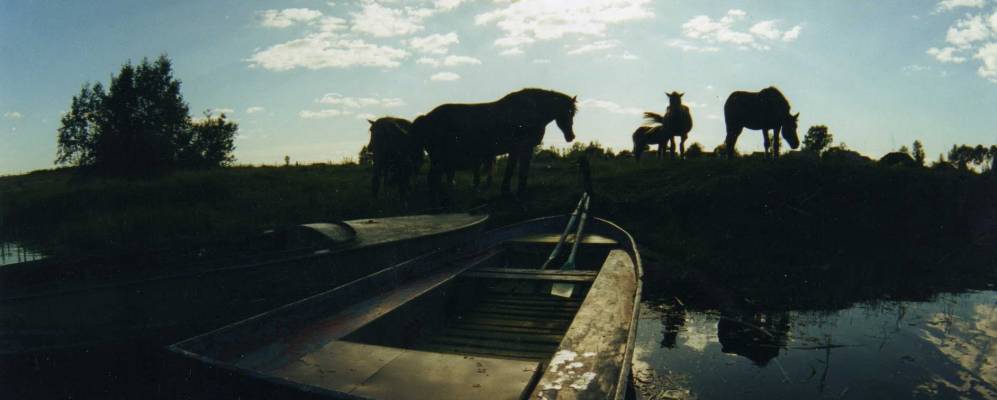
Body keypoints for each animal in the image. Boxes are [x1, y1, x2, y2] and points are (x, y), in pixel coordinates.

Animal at [408, 86, 576, 202]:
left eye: (573, 113)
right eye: (568, 112)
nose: (571, 137)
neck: (529, 111)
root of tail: (426, 117)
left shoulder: (517, 150)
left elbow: (514, 170)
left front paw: (509, 191)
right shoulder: (523, 148)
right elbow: (518, 171)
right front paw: (516, 192)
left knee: (434, 180)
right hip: (439, 159)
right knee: (432, 180)